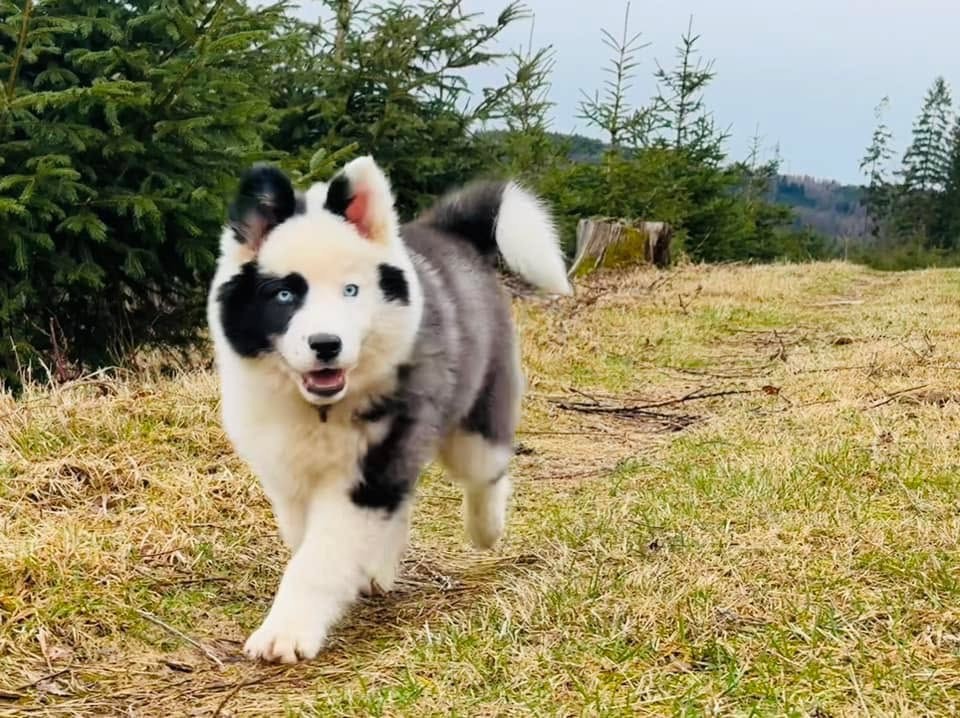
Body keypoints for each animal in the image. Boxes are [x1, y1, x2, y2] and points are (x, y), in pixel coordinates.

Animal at [207, 156, 571, 663]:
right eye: (284, 295)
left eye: (351, 291)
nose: (326, 344)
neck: (322, 409)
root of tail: (444, 230)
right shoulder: (289, 475)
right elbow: (308, 542)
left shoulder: (370, 469)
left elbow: (319, 557)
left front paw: (287, 632)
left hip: (472, 419)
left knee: (486, 472)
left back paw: (486, 527)